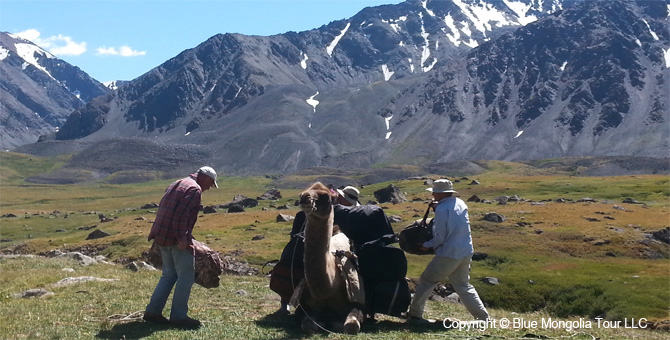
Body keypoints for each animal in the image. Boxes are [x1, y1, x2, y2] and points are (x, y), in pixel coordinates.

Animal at [296, 183, 364, 334]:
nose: (304, 197)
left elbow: (351, 326)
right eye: (302, 192)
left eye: (326, 197)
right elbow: (307, 325)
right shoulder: (307, 307)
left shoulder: (358, 305)